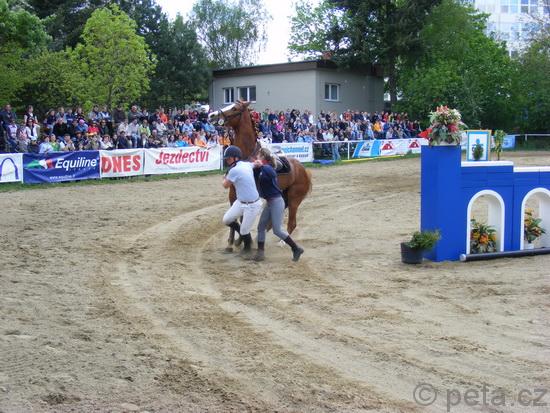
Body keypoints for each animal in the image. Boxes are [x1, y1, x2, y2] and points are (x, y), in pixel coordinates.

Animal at [209, 101, 312, 252]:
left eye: (235, 108)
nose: (211, 115)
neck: (246, 156)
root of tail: (304, 171)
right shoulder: (233, 193)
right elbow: (234, 216)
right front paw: (231, 242)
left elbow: (242, 217)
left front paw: (241, 241)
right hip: (282, 197)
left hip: (294, 200)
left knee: (292, 223)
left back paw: (281, 242)